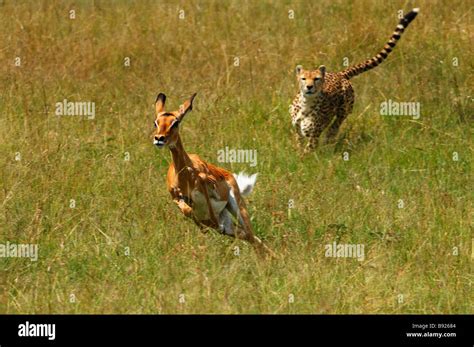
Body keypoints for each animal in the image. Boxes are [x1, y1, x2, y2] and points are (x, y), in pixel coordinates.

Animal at [290, 7, 420, 152]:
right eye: (303, 78)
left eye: (316, 79)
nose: (309, 87)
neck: (306, 103)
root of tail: (340, 74)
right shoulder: (297, 129)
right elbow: (299, 143)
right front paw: (297, 154)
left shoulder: (314, 134)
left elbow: (308, 148)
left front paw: (304, 157)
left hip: (344, 111)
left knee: (334, 127)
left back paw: (329, 140)